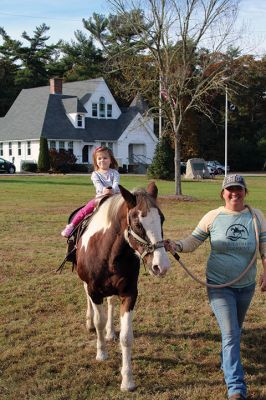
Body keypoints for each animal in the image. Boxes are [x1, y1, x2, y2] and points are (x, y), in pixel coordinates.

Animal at [75, 181, 170, 390]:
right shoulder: (94, 291)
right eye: (138, 224)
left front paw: (127, 380)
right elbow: (99, 321)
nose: (161, 266)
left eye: (162, 219)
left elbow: (126, 337)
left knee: (110, 303)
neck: (108, 253)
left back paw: (110, 332)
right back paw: (90, 322)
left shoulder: (129, 294)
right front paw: (101, 353)